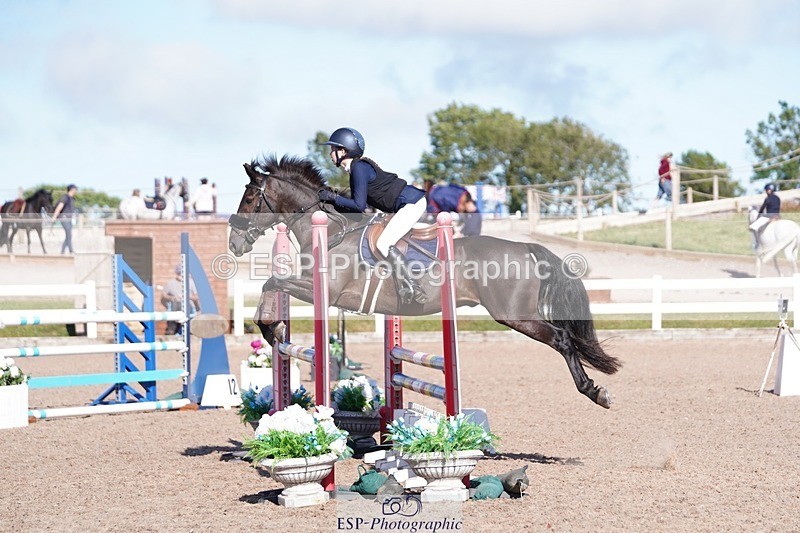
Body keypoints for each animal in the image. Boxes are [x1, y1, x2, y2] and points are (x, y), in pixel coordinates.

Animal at [228, 155, 621, 409]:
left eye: (248, 198)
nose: (233, 244)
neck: (331, 230)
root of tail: (526, 247)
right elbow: (271, 284)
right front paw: (274, 330)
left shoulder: (323, 291)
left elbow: (271, 283)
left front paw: (271, 330)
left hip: (515, 315)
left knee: (563, 339)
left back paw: (594, 392)